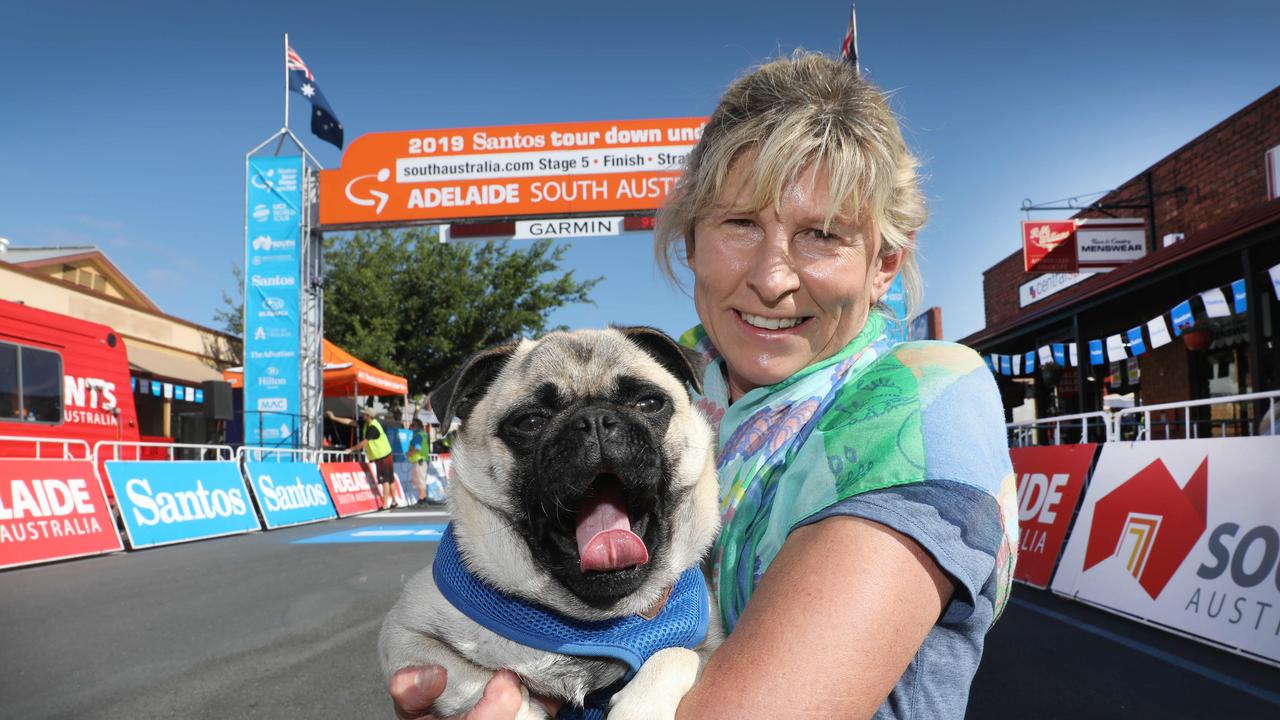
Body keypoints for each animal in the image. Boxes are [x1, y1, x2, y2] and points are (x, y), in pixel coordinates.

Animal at [376, 326, 721, 717]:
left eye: (648, 404)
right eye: (530, 422)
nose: (595, 419)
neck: (589, 622)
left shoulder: (709, 645)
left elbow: (676, 654)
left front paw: (641, 706)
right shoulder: (406, 640)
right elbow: (476, 682)